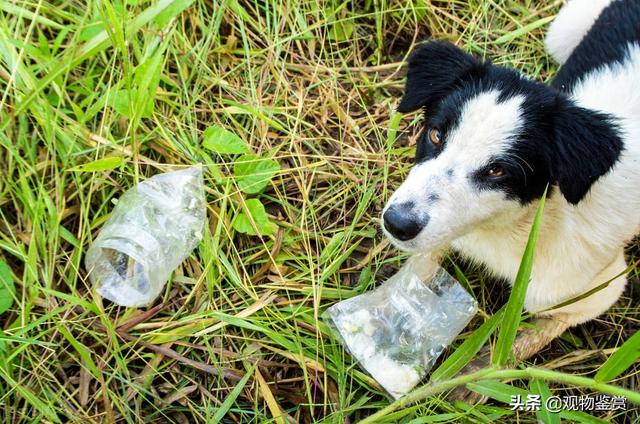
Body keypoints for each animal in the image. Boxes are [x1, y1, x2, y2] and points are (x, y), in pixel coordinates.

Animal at [382, 0, 636, 400]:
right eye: (435, 135)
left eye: (497, 171)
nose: (397, 224)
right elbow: (420, 268)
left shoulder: (600, 289)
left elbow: (520, 341)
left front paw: (473, 377)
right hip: (561, 32)